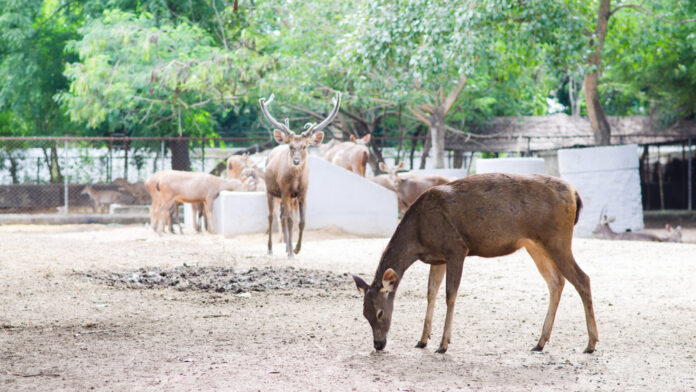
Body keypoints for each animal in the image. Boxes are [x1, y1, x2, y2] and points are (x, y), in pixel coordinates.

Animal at [260, 92, 342, 258]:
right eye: (291, 146)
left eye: (304, 146)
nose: (296, 161)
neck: (296, 180)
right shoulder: (284, 190)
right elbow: (290, 220)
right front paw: (292, 252)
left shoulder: (303, 193)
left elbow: (301, 221)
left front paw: (297, 249)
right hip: (270, 191)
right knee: (271, 217)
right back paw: (271, 249)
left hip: (288, 197)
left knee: (282, 216)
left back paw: (287, 247)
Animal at [354, 173, 600, 354]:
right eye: (364, 314)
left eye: (380, 313)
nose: (378, 345)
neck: (418, 235)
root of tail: (574, 193)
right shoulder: (438, 257)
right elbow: (431, 292)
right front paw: (422, 339)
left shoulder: (456, 248)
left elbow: (450, 294)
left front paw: (443, 344)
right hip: (535, 244)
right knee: (556, 281)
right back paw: (540, 342)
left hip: (557, 239)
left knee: (582, 279)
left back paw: (590, 344)